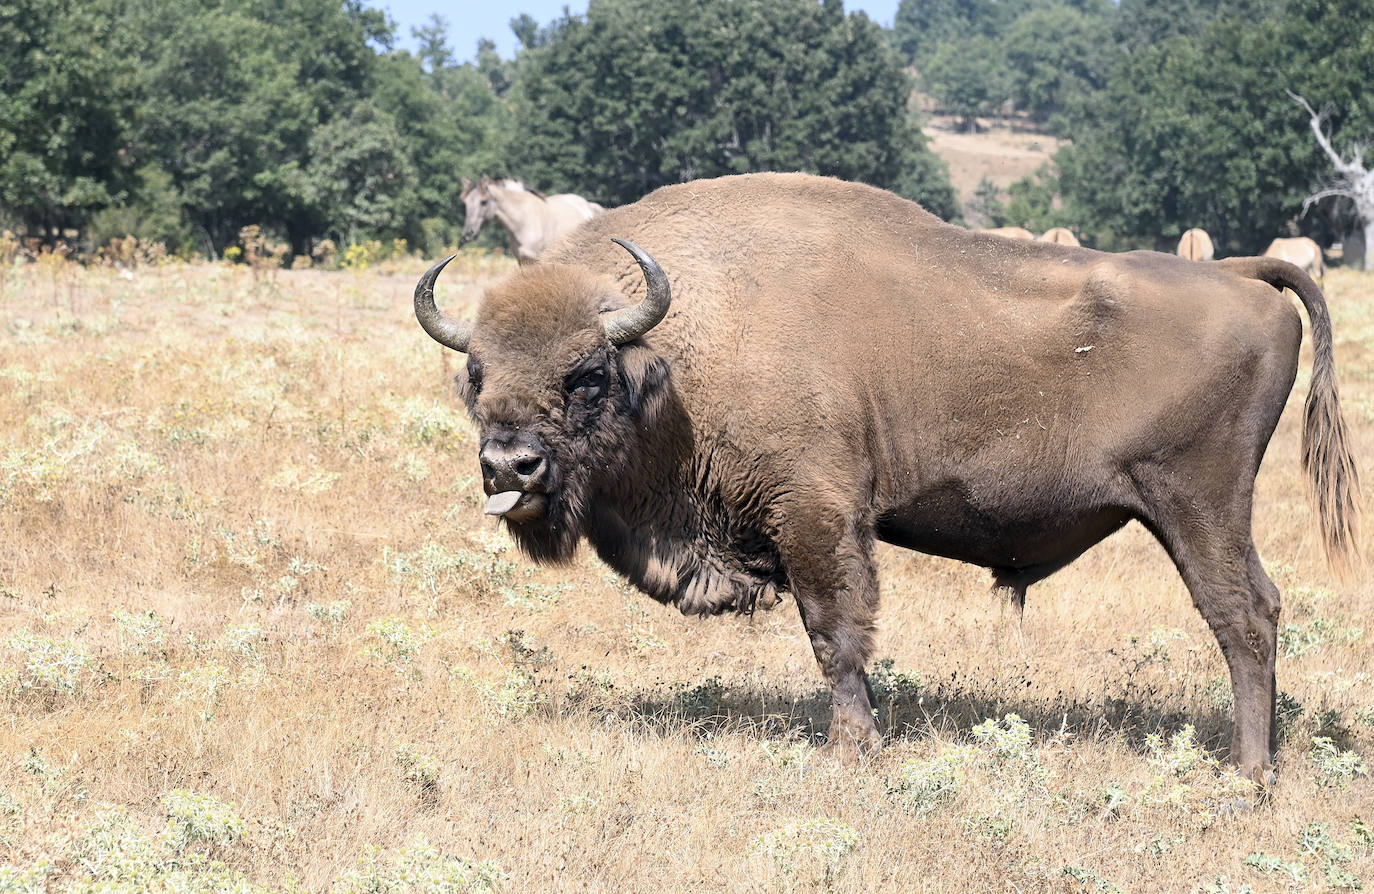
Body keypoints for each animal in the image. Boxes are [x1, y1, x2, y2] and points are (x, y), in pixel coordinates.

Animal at [461, 177, 607, 263]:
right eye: (465, 202)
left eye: (483, 202)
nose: (468, 234)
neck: (522, 223)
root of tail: (588, 206)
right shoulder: (522, 261)